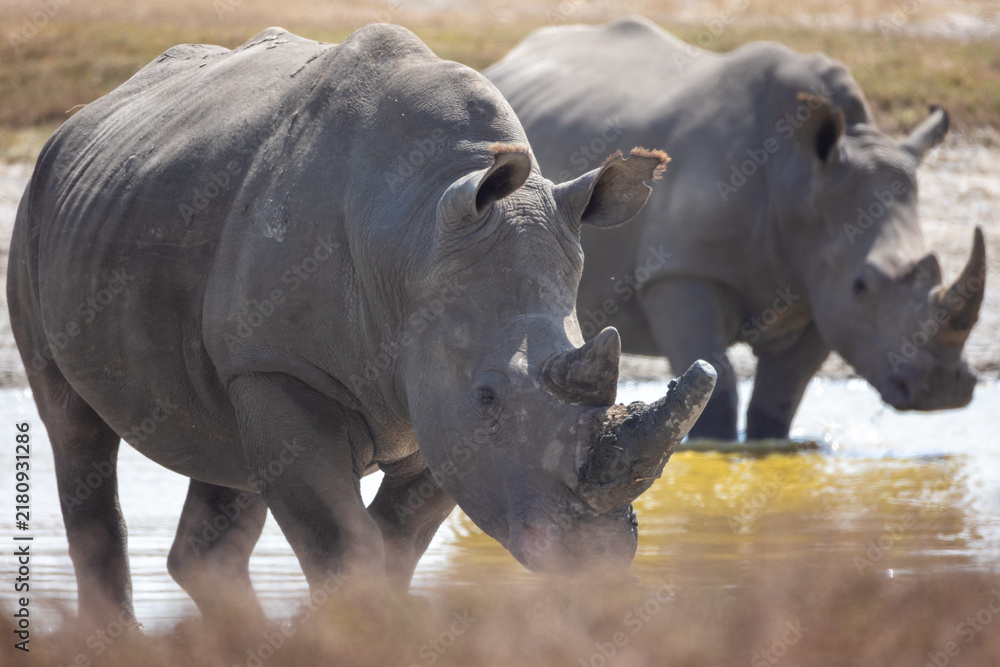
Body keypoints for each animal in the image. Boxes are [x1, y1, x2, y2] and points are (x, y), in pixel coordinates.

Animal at [6, 24, 716, 627]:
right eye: (489, 396)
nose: (593, 553)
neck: (415, 235)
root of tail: (82, 119)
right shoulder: (288, 366)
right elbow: (344, 543)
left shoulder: (429, 394)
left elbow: (393, 540)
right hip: (39, 215)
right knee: (75, 430)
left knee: (228, 453)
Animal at [486, 17, 986, 440]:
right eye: (862, 286)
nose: (943, 389)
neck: (802, 181)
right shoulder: (682, 271)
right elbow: (717, 386)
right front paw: (715, 445)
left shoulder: (817, 292)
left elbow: (779, 398)